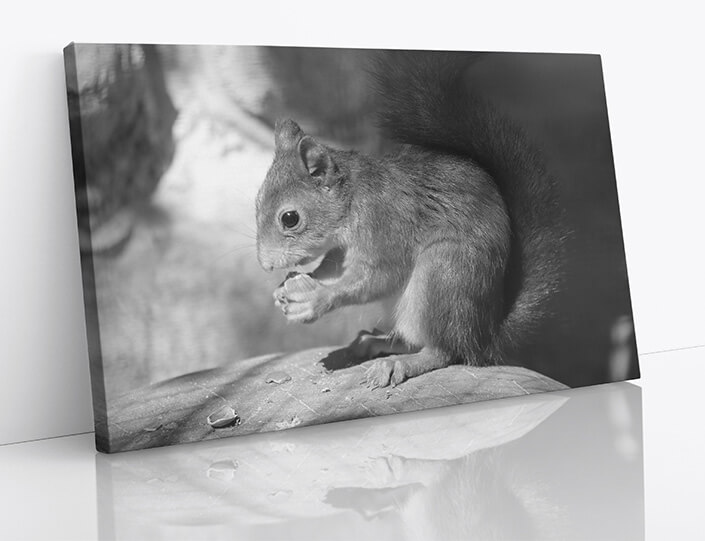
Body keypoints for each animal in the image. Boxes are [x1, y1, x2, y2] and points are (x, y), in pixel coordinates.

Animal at [255, 51, 565, 388]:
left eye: (290, 218)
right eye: (257, 201)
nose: (265, 265)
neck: (353, 202)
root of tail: (484, 336)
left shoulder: (386, 225)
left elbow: (377, 277)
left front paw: (316, 299)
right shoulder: (341, 251)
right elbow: (332, 271)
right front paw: (285, 288)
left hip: (442, 274)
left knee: (444, 350)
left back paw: (402, 363)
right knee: (414, 338)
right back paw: (374, 343)